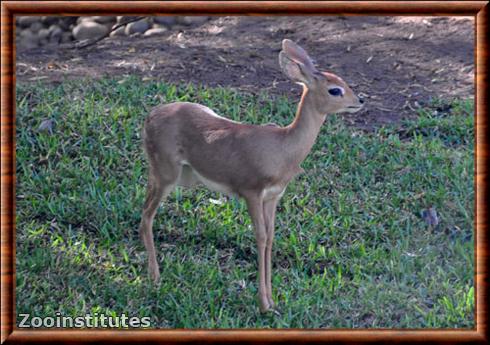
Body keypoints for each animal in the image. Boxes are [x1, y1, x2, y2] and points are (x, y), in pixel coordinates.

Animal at [139, 39, 364, 310]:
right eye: (334, 90)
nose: (360, 101)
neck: (283, 148)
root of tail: (150, 117)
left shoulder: (273, 196)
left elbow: (271, 236)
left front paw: (273, 300)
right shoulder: (251, 192)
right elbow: (260, 236)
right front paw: (264, 304)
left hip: (167, 175)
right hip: (167, 176)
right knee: (147, 215)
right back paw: (155, 278)